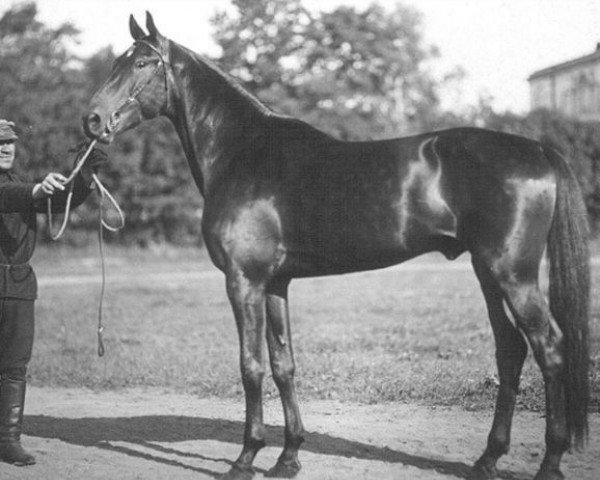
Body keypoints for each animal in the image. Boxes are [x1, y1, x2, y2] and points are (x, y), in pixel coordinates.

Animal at [81, 13, 592, 480]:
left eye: (142, 62)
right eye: (117, 62)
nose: (92, 120)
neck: (241, 152)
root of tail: (538, 150)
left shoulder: (243, 281)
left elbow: (251, 366)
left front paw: (245, 459)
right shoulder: (275, 284)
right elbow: (283, 364)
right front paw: (288, 457)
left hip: (513, 276)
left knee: (550, 349)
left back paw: (549, 464)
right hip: (488, 274)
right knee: (511, 351)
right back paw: (486, 460)